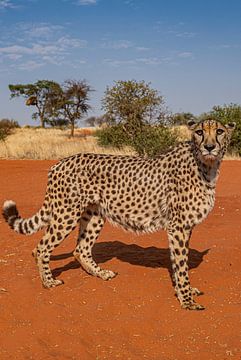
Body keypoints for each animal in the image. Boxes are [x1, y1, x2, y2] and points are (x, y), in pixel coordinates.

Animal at [2, 119, 235, 310]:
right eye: (199, 132)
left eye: (220, 131)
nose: (210, 146)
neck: (206, 165)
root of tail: (59, 163)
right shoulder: (177, 226)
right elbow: (180, 264)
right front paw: (187, 300)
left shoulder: (185, 227)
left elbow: (180, 263)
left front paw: (184, 291)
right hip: (66, 213)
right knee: (41, 248)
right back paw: (48, 282)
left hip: (94, 216)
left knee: (81, 249)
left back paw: (101, 273)